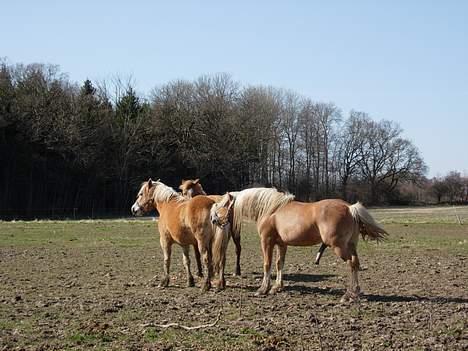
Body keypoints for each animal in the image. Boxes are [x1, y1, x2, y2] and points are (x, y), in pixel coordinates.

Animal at [210, 190, 386, 302]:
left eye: (224, 204)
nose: (213, 219)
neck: (271, 209)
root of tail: (350, 208)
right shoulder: (282, 244)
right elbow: (279, 264)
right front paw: (277, 287)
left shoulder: (266, 241)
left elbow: (267, 264)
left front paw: (262, 289)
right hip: (351, 245)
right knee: (356, 264)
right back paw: (356, 293)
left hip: (339, 247)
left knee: (351, 264)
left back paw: (349, 295)